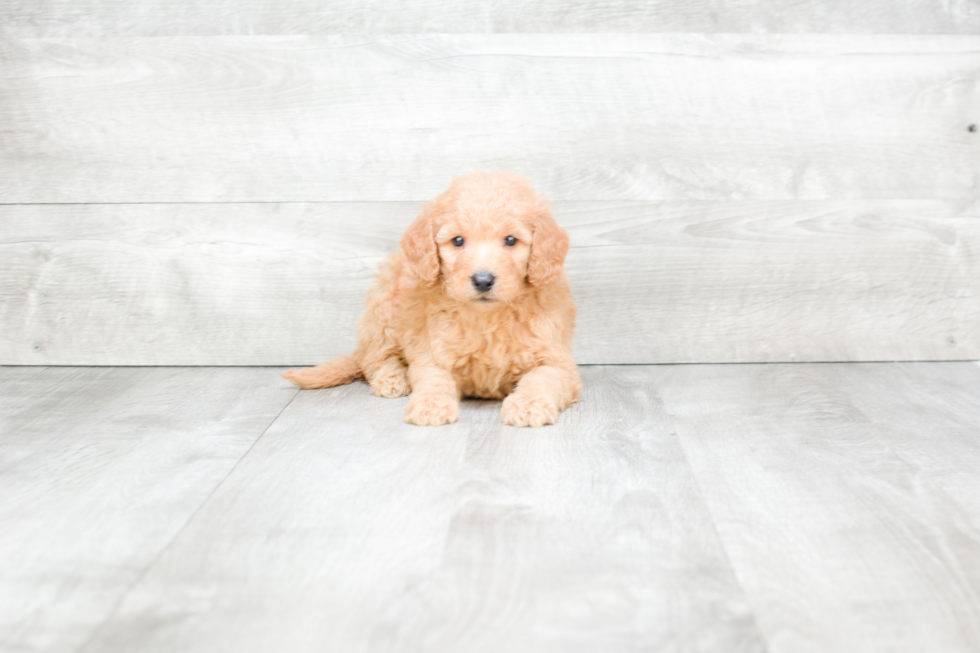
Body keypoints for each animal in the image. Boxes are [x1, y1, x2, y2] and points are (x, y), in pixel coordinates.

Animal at [282, 171, 580, 426]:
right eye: (457, 241)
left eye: (510, 240)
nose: (483, 280)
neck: (486, 317)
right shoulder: (432, 352)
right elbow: (433, 379)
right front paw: (430, 405)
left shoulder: (557, 359)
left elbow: (544, 377)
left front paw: (529, 404)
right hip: (382, 308)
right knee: (374, 358)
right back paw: (392, 378)